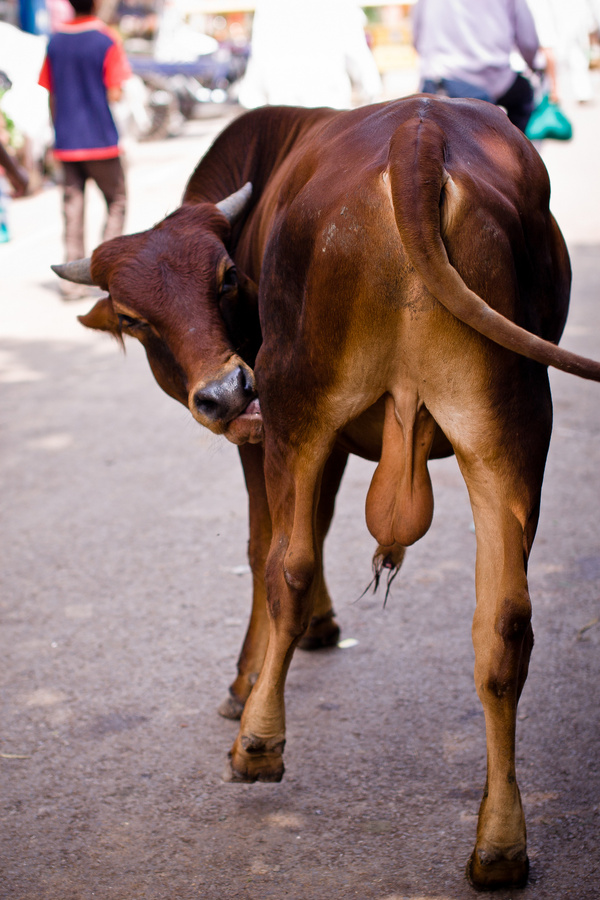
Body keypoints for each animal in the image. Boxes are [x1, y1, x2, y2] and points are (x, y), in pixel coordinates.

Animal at [54, 96, 600, 884]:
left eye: (226, 276)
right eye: (132, 316)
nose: (224, 391)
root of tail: (418, 135)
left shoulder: (266, 435)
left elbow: (268, 545)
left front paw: (245, 682)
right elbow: (323, 519)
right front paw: (319, 626)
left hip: (296, 406)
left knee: (286, 563)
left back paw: (258, 745)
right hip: (511, 430)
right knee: (503, 625)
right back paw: (499, 847)